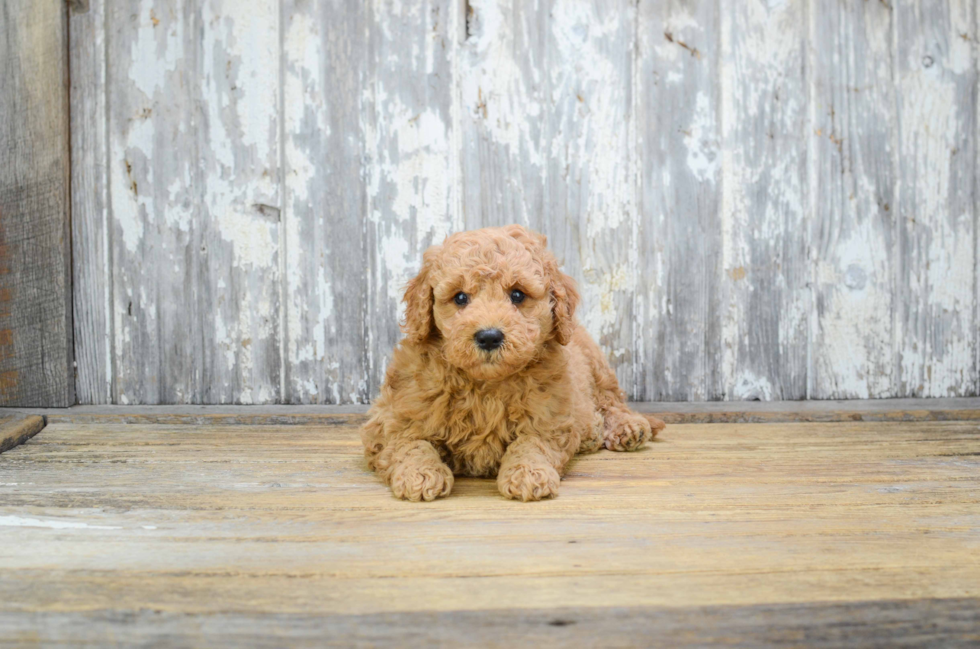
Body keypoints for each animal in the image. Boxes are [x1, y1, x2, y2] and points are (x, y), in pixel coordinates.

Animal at [360, 223, 668, 502]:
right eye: (460, 297)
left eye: (517, 294)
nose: (489, 337)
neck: (485, 385)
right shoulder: (390, 418)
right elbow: (409, 443)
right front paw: (420, 473)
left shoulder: (548, 417)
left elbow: (531, 442)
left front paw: (529, 473)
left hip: (596, 364)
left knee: (611, 400)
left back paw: (627, 427)